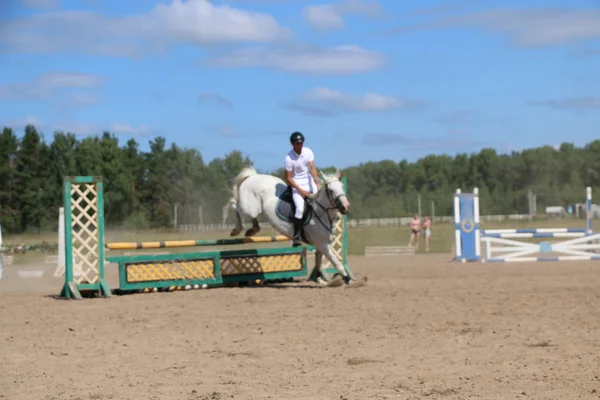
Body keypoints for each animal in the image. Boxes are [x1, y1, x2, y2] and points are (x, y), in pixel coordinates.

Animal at [224, 165, 356, 284]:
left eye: (342, 187)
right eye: (331, 190)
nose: (346, 207)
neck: (320, 212)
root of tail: (253, 176)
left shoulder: (322, 245)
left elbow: (320, 262)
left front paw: (319, 279)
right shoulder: (322, 244)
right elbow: (337, 263)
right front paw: (348, 279)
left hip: (253, 209)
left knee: (247, 214)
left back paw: (253, 229)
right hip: (249, 208)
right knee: (233, 204)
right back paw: (236, 229)